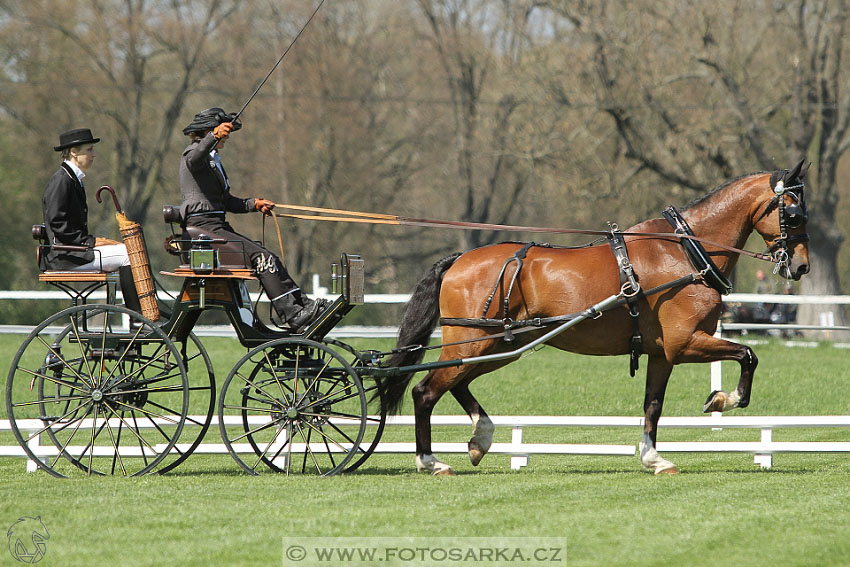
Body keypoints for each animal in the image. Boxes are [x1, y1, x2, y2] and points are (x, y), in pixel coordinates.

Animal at [376, 159, 808, 474]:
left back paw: (480, 439)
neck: (685, 251)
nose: (801, 266)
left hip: (499, 345)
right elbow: (748, 354)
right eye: (793, 214)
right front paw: (722, 399)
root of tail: (458, 260)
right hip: (473, 343)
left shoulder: (662, 353)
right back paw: (430, 461)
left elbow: (653, 406)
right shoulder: (684, 343)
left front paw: (653, 458)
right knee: (425, 391)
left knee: (457, 383)